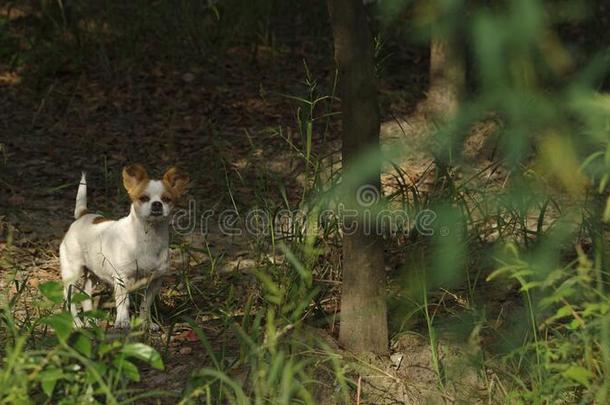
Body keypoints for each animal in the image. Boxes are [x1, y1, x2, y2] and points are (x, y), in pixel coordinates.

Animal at [60, 164, 188, 328]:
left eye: (166, 199)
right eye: (143, 198)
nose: (157, 204)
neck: (148, 238)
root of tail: (83, 215)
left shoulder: (155, 281)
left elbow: (145, 305)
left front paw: (146, 324)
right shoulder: (122, 279)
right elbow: (123, 303)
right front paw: (122, 322)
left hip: (93, 273)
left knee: (85, 295)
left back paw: (90, 321)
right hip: (72, 273)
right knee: (69, 299)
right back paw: (77, 323)